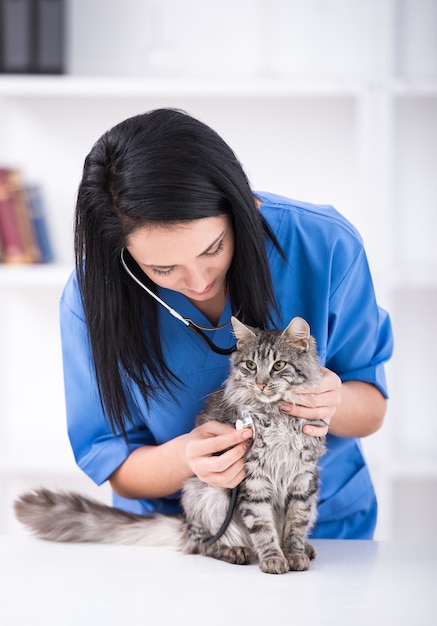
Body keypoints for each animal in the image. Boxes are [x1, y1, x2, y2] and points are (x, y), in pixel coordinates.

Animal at [15, 314, 326, 572]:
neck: (275, 416)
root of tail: (186, 525)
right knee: (206, 545)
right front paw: (273, 559)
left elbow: (295, 526)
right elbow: (262, 527)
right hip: (207, 498)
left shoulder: (303, 480)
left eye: (278, 365)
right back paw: (235, 551)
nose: (261, 384)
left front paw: (294, 554)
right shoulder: (253, 480)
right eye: (251, 365)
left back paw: (308, 549)